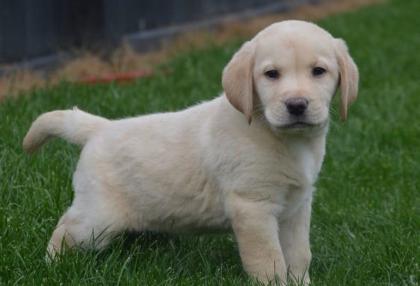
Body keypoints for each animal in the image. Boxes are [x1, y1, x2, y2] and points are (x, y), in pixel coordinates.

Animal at [23, 20, 358, 284]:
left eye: (319, 71)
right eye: (271, 74)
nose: (296, 105)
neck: (279, 136)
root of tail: (100, 128)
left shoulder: (297, 207)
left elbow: (299, 255)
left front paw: (301, 281)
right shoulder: (253, 207)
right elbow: (269, 260)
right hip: (97, 217)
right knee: (65, 230)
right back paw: (52, 266)